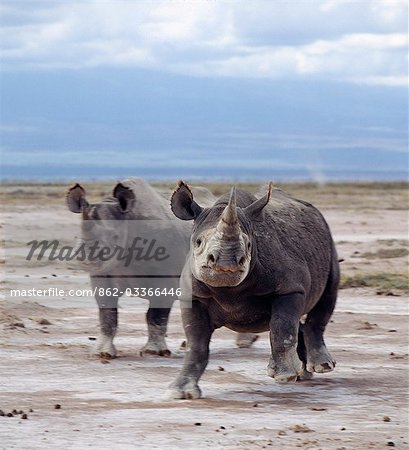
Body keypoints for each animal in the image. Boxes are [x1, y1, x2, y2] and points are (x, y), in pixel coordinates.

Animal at [164, 181, 340, 400]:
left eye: (248, 245)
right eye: (198, 242)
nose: (226, 264)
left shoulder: (290, 287)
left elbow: (282, 327)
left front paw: (284, 376)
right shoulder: (193, 296)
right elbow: (196, 344)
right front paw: (180, 392)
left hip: (329, 244)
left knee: (325, 299)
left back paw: (321, 367)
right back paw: (303, 374)